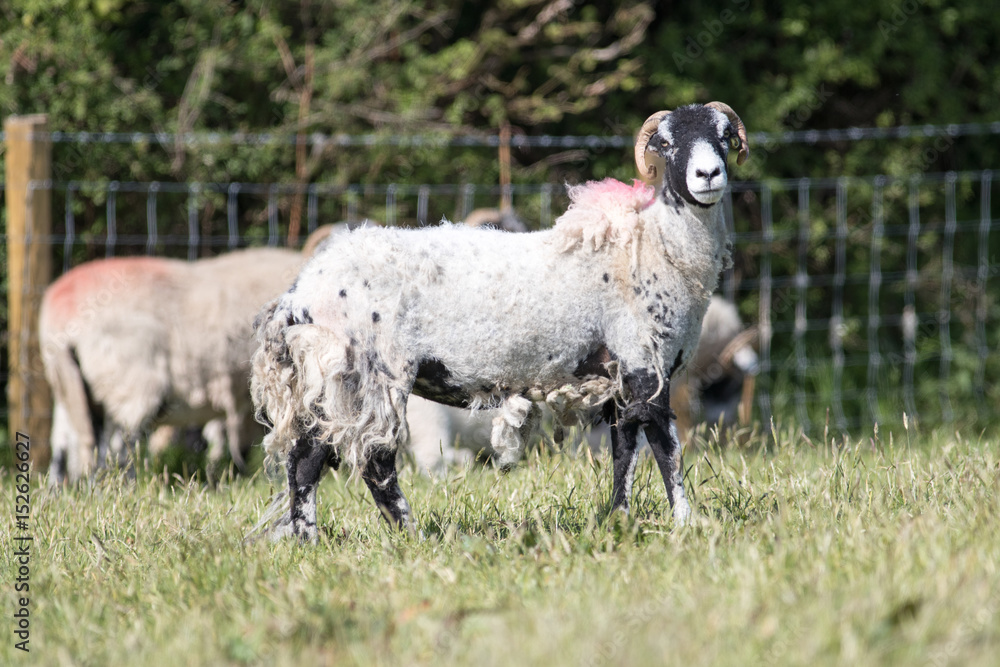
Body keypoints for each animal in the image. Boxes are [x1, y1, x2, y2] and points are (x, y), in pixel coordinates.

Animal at [250, 101, 749, 540]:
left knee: (306, 458)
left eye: (725, 136)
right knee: (370, 461)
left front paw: (620, 521)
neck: (655, 249)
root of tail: (300, 290)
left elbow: (624, 450)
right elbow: (667, 449)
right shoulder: (645, 364)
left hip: (332, 375)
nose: (708, 175)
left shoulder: (621, 376)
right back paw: (409, 537)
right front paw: (686, 524)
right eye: (665, 143)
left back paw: (308, 540)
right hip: (369, 369)